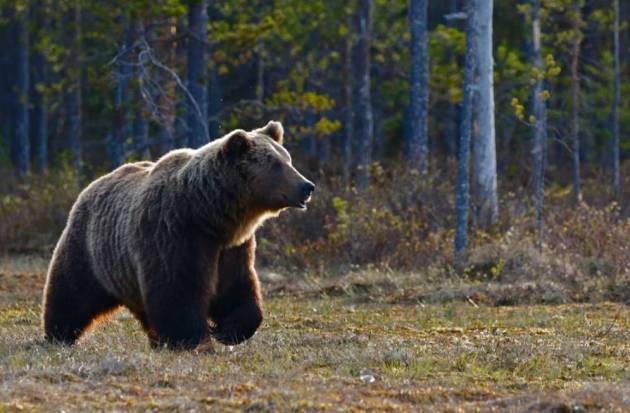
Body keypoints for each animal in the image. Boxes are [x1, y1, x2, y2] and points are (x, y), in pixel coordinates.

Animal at [42, 120, 314, 350]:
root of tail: (93, 184)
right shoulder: (174, 233)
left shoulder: (231, 248)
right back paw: (59, 334)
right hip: (91, 249)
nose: (307, 186)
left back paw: (156, 340)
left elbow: (236, 288)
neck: (209, 215)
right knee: (71, 291)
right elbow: (178, 290)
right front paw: (193, 340)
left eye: (288, 159)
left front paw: (227, 330)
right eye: (276, 165)